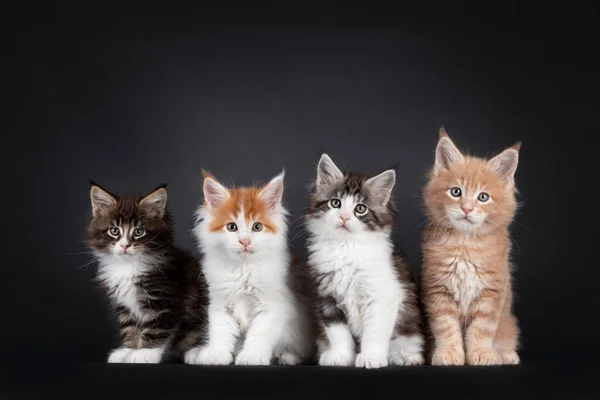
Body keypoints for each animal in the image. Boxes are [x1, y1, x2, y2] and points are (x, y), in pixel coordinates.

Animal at [83, 183, 207, 364]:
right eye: (114, 231)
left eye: (138, 231)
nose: (125, 245)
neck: (128, 266)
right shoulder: (124, 305)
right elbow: (129, 327)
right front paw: (129, 350)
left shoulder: (166, 300)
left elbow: (156, 328)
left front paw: (144, 353)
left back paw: (198, 351)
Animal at [185, 170, 316, 364]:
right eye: (232, 227)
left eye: (257, 227)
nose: (245, 241)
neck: (243, 269)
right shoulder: (220, 303)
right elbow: (220, 331)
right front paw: (215, 354)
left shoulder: (273, 306)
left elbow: (259, 335)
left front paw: (251, 356)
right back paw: (197, 352)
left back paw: (289, 356)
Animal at [304, 154, 422, 368]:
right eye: (336, 203)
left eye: (360, 209)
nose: (344, 217)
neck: (346, 248)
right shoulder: (326, 297)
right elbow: (337, 332)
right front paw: (340, 356)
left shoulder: (382, 296)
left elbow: (374, 332)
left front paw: (371, 357)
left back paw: (404, 356)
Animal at [422, 128, 520, 366]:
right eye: (456, 192)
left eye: (483, 197)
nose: (466, 208)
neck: (465, 244)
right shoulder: (438, 289)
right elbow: (445, 327)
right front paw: (449, 353)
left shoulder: (492, 291)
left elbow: (482, 329)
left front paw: (482, 353)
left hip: (508, 322)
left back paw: (506, 354)